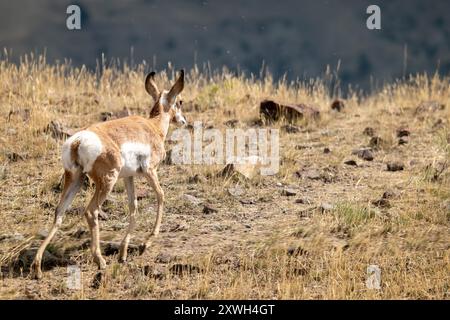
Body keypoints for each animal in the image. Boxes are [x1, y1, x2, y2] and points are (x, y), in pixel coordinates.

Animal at [32, 69, 186, 278]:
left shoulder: (129, 177)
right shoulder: (150, 171)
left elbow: (133, 206)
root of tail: (78, 141)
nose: (183, 121)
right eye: (179, 102)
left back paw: (37, 267)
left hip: (75, 179)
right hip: (106, 182)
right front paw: (146, 243)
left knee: (59, 212)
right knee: (91, 211)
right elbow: (161, 196)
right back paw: (100, 261)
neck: (152, 126)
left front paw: (123, 253)